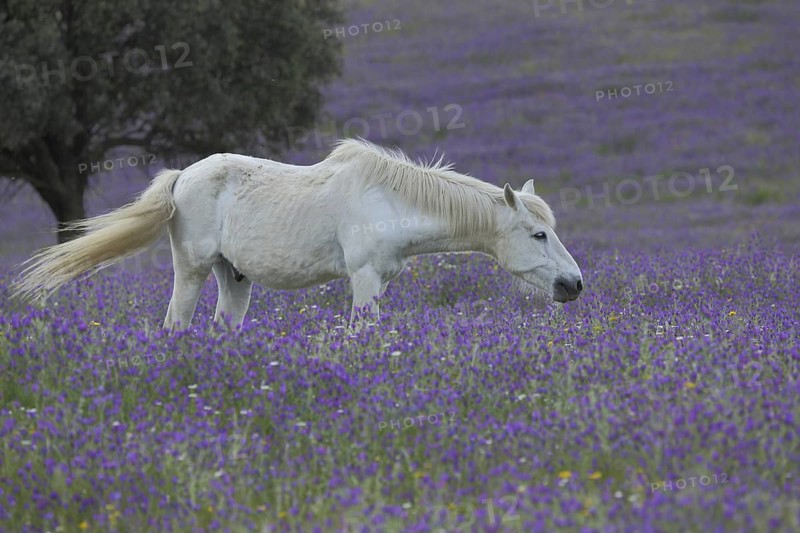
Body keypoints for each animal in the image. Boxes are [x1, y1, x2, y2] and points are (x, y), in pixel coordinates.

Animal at [13, 139, 583, 329]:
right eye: (538, 235)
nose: (574, 285)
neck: (390, 200)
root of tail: (183, 177)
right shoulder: (363, 278)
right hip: (191, 271)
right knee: (175, 326)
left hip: (233, 278)